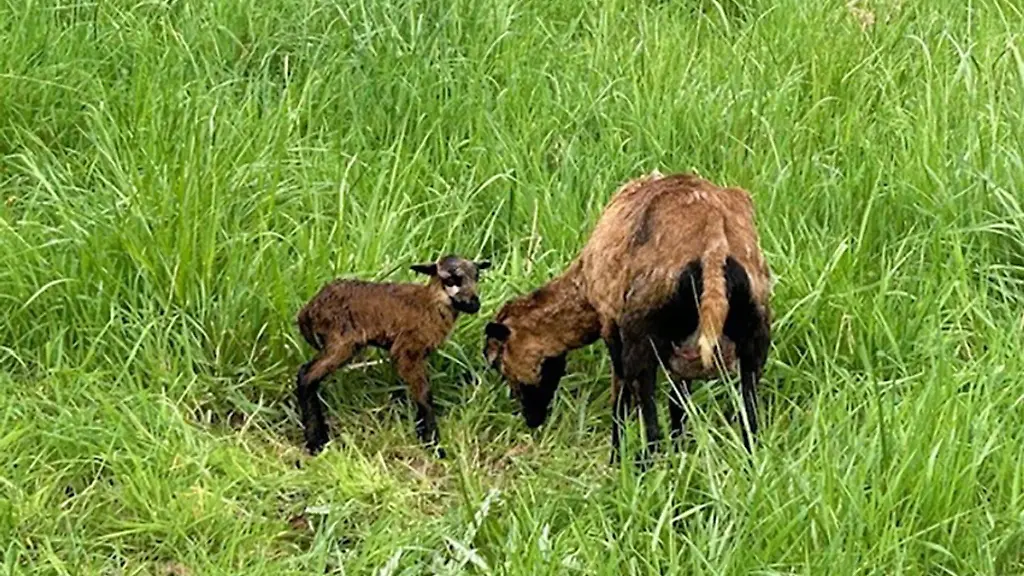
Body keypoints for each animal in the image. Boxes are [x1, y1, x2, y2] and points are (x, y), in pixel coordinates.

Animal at [296, 255, 491, 457]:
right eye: (450, 280)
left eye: (477, 276)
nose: (474, 305)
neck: (430, 303)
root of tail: (308, 310)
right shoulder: (407, 350)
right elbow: (424, 394)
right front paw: (433, 444)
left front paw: (423, 436)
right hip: (341, 342)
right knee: (306, 375)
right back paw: (316, 443)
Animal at [483, 171, 772, 462]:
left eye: (498, 361)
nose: (532, 420)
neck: (582, 286)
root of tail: (714, 241)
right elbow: (678, 401)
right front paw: (678, 449)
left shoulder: (611, 325)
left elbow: (621, 397)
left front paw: (616, 456)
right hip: (756, 332)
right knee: (750, 415)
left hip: (642, 333)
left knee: (649, 417)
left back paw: (643, 463)